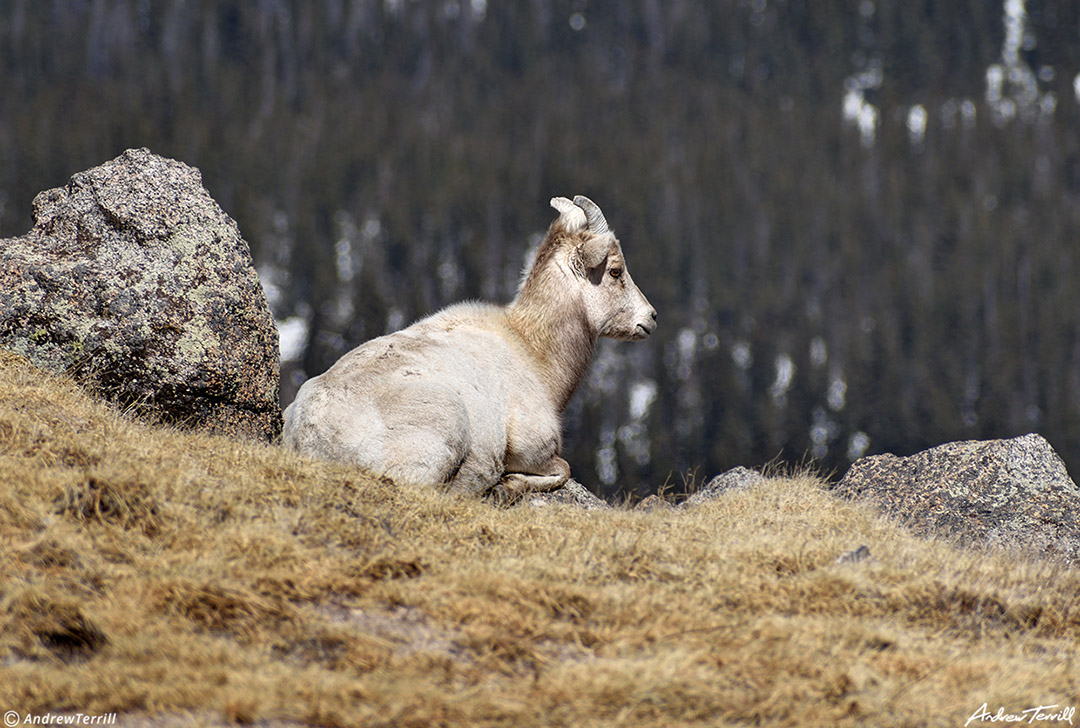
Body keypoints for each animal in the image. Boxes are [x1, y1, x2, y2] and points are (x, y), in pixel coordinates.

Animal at [282, 192, 652, 499]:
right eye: (616, 271)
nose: (651, 318)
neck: (532, 352)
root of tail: (310, 434)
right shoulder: (533, 447)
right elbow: (563, 468)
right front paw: (505, 486)